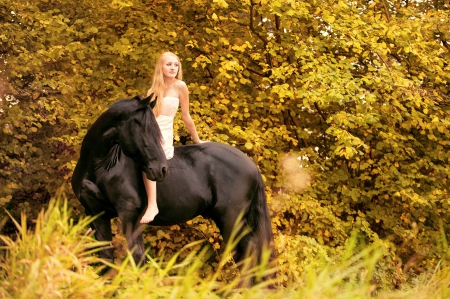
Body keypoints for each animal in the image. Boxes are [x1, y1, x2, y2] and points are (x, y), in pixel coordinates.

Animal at [71, 95, 274, 282]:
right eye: (143, 129)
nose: (162, 169)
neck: (101, 168)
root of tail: (251, 164)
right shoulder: (97, 215)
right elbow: (106, 258)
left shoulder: (129, 215)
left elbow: (137, 257)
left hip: (231, 219)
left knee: (247, 252)